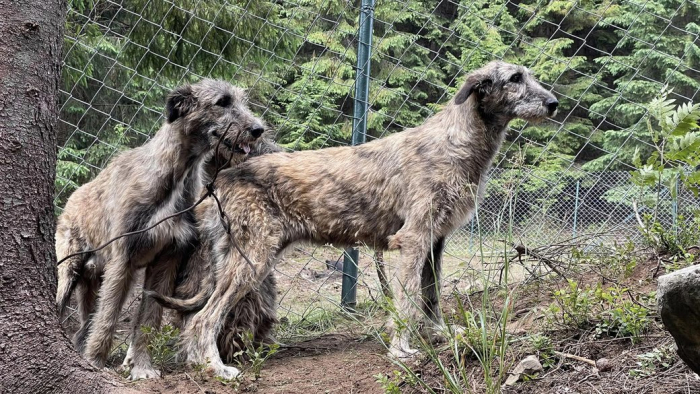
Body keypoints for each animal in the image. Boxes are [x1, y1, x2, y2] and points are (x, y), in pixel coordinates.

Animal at [53, 79, 268, 378]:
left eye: (242, 100)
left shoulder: (168, 259)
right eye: (222, 102)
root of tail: (71, 199)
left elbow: (149, 319)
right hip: (69, 269)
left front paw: (142, 368)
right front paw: (96, 363)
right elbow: (108, 318)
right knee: (67, 310)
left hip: (91, 280)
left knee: (84, 326)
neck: (177, 172)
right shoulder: (123, 260)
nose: (258, 129)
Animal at [150, 61, 560, 378]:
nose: (554, 104)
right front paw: (401, 350)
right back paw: (213, 367)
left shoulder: (435, 243)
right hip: (252, 261)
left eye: (529, 75)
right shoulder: (414, 240)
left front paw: (439, 334)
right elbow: (407, 300)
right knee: (203, 318)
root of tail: (221, 178)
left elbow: (431, 298)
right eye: (515, 78)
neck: (455, 141)